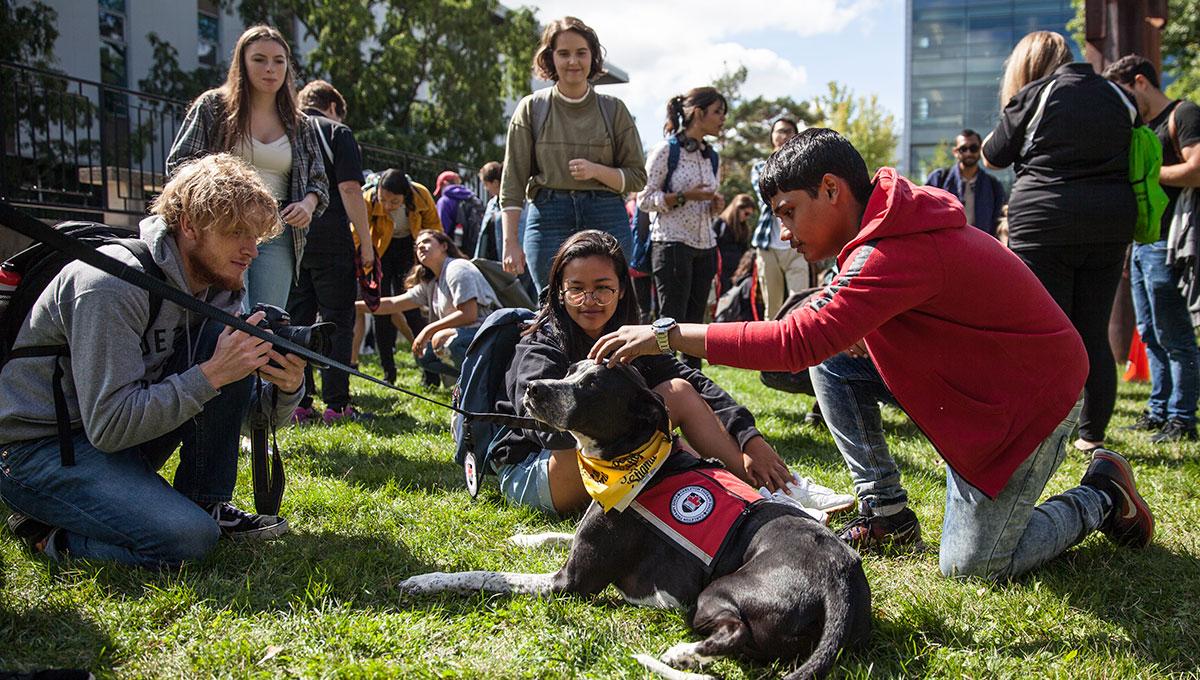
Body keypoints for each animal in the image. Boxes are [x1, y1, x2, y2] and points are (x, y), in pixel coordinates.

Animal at [403, 362, 873, 680]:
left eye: (592, 385)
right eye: (571, 370)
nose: (534, 388)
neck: (633, 461)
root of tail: (840, 581)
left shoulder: (569, 583)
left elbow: (486, 576)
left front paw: (426, 580)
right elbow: (559, 533)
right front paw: (525, 537)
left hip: (717, 593)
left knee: (735, 632)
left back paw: (681, 653)